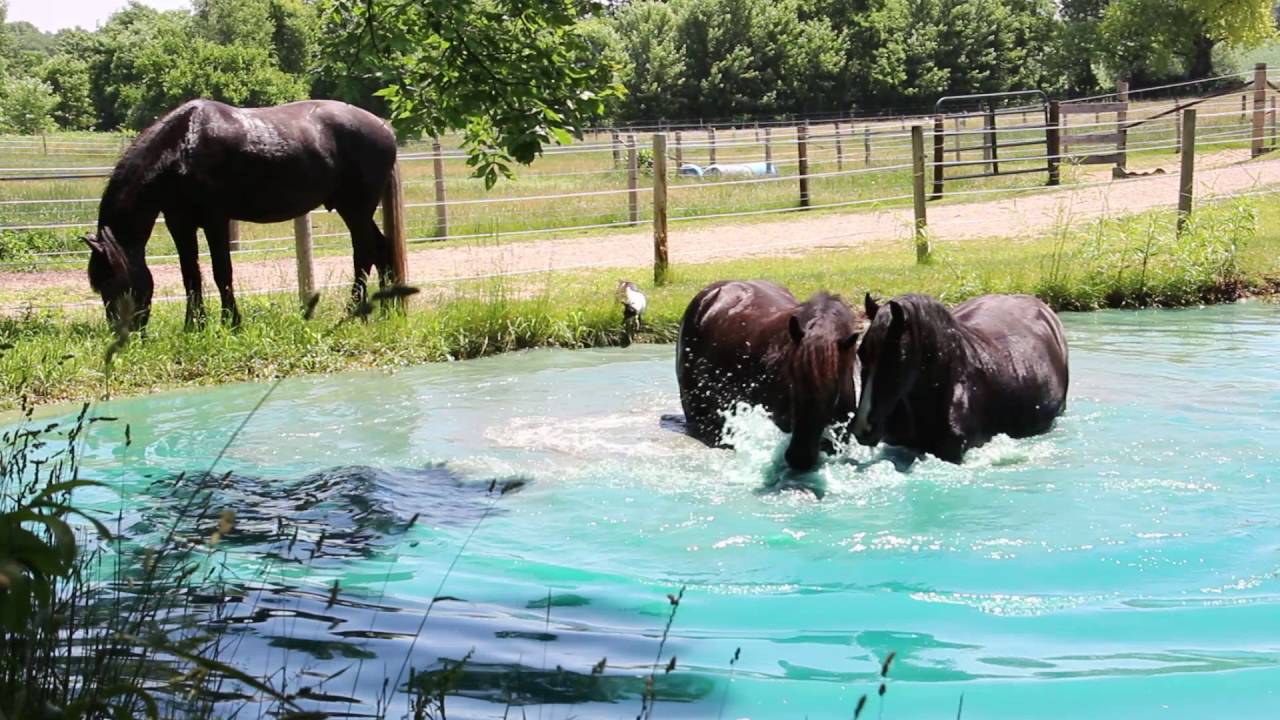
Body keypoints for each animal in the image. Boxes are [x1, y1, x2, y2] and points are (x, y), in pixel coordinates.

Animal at [84, 99, 399, 329]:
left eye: (113, 282)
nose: (122, 332)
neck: (181, 147)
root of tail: (385, 129)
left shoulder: (215, 220)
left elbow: (221, 271)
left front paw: (231, 322)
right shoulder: (180, 223)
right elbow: (190, 275)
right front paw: (194, 326)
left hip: (356, 209)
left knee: (364, 254)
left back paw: (353, 312)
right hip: (355, 210)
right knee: (381, 249)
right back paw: (388, 309)